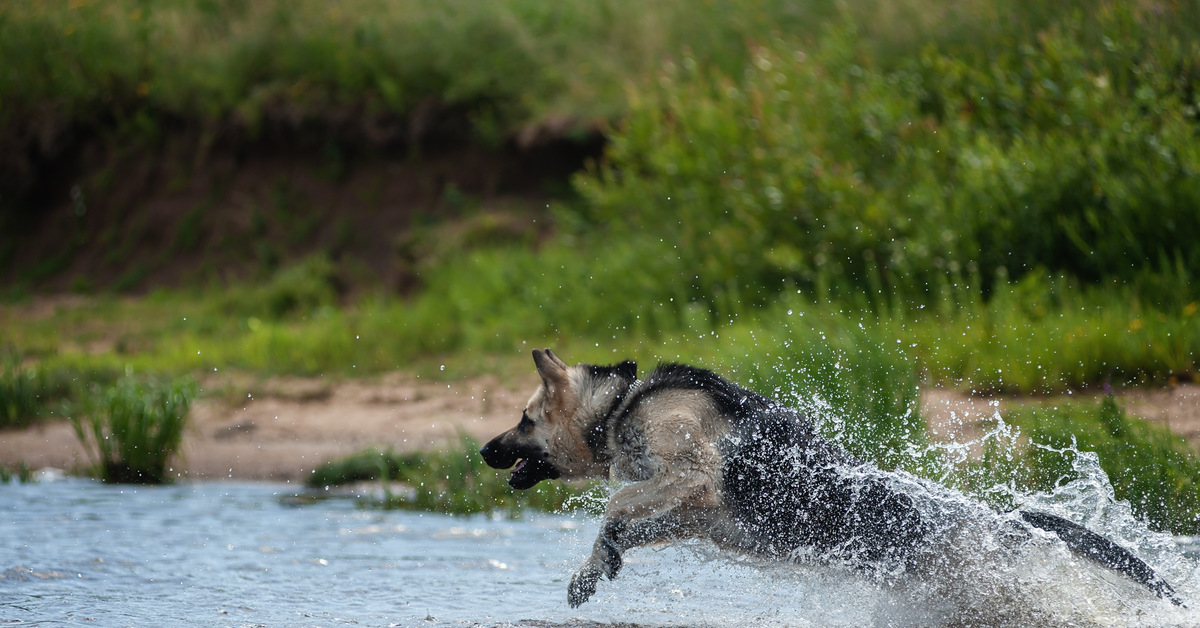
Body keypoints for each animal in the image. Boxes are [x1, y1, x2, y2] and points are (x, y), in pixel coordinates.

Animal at [477, 348, 1180, 609]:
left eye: (524, 418)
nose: (483, 449)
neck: (619, 405)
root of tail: (1001, 525)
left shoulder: (692, 477)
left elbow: (617, 501)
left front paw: (603, 552)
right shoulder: (692, 512)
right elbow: (621, 525)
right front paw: (595, 569)